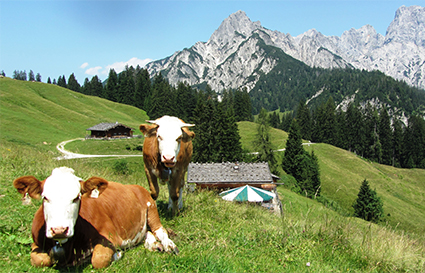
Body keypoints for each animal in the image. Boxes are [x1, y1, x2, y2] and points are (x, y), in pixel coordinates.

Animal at [12, 166, 176, 268]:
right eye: (45, 197)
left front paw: (117, 255)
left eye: (76, 197)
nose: (59, 230)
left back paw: (168, 245)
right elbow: (39, 259)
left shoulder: (110, 237)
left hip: (151, 209)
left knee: (160, 231)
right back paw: (154, 245)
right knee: (147, 233)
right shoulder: (36, 242)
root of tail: (134, 186)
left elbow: (99, 259)